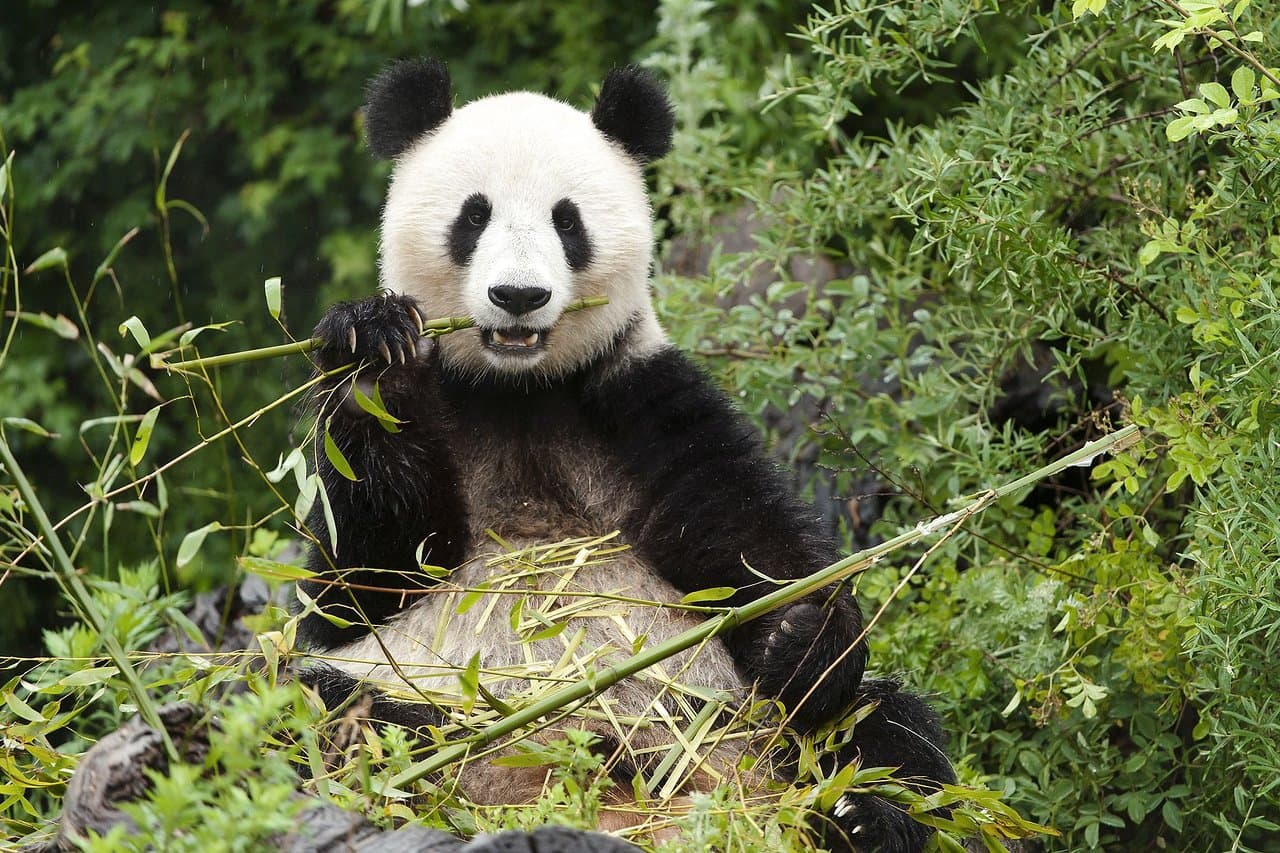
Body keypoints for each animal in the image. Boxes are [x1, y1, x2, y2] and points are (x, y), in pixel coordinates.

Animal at [297, 58, 956, 853]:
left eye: (567, 220)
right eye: (474, 216)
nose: (519, 296)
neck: (518, 392)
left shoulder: (636, 403)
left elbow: (750, 538)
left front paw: (802, 636)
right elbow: (363, 576)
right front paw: (374, 348)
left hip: (740, 727)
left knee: (883, 730)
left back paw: (861, 816)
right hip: (424, 704)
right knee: (318, 707)